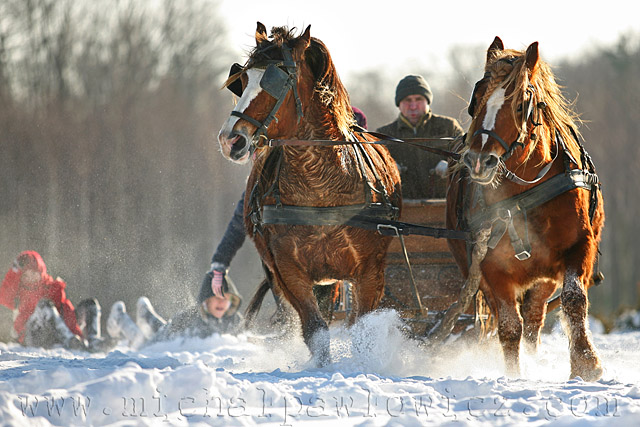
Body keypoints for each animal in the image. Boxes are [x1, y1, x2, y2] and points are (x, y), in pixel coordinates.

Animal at [219, 22, 400, 364]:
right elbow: (315, 329)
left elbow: (362, 332)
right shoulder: (288, 271)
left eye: (276, 80)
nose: (230, 139)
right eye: (242, 81)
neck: (319, 190)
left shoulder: (369, 271)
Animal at [444, 37, 604, 382]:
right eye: (477, 98)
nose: (479, 160)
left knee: (534, 315)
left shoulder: (579, 246)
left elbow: (573, 299)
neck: (524, 193)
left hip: (544, 277)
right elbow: (507, 325)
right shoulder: (491, 266)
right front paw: (514, 375)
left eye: (521, 104)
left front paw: (586, 364)